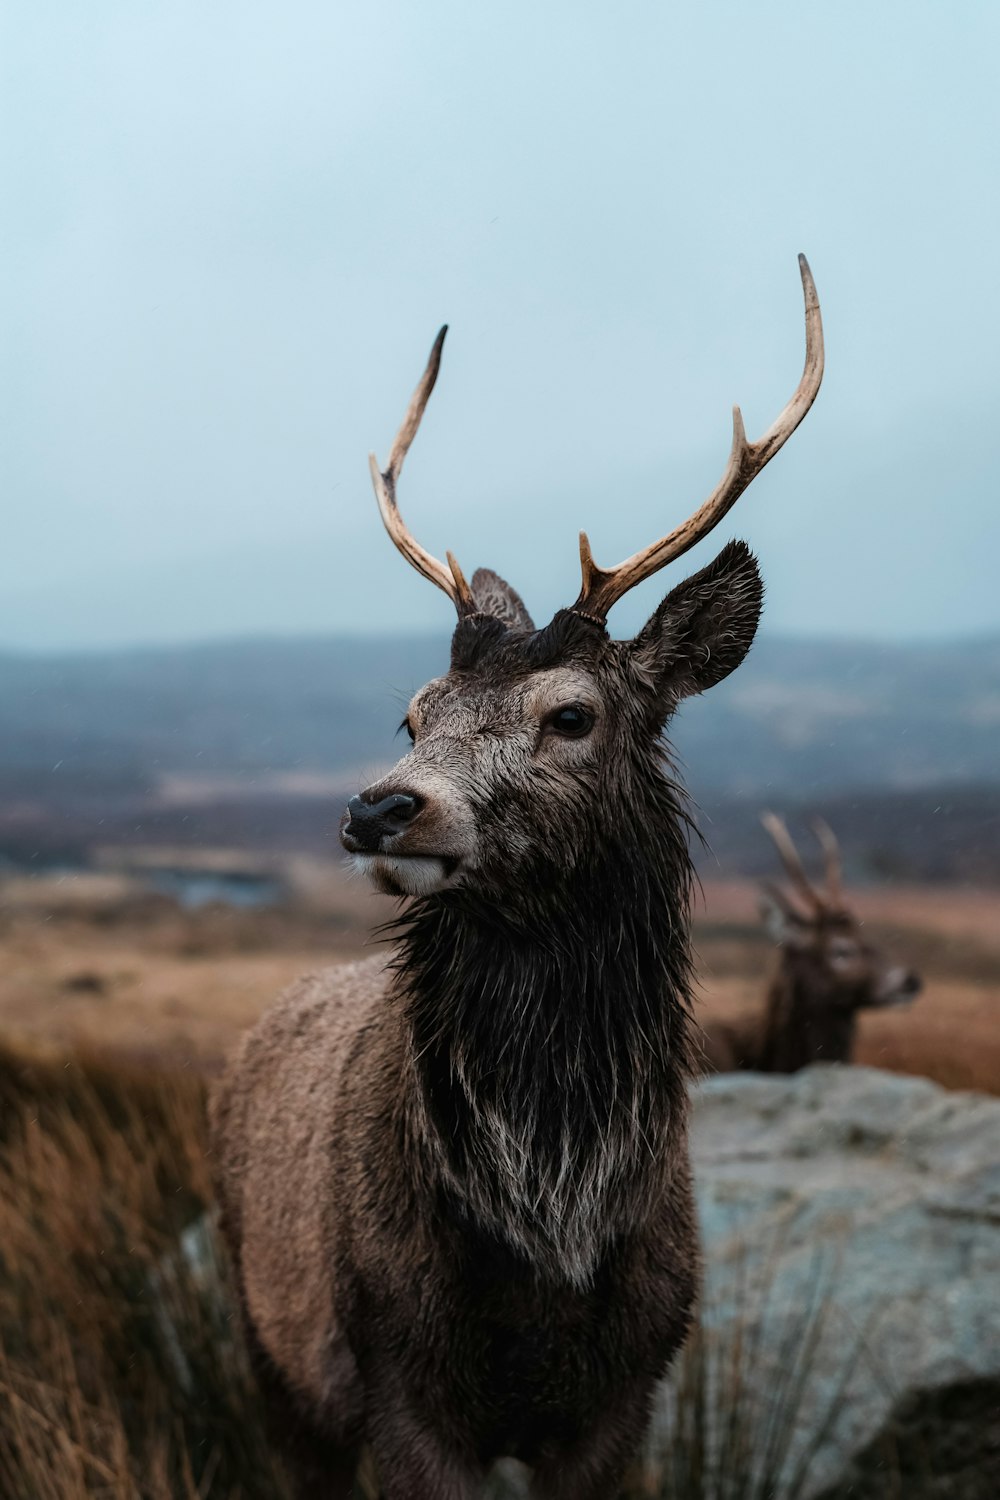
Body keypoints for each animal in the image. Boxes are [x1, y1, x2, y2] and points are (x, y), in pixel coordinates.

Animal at [211, 258, 821, 1500]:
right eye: (412, 712)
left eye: (571, 715)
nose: (377, 807)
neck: (549, 1243)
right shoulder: (395, 1381)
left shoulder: (626, 1393)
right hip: (267, 1349)